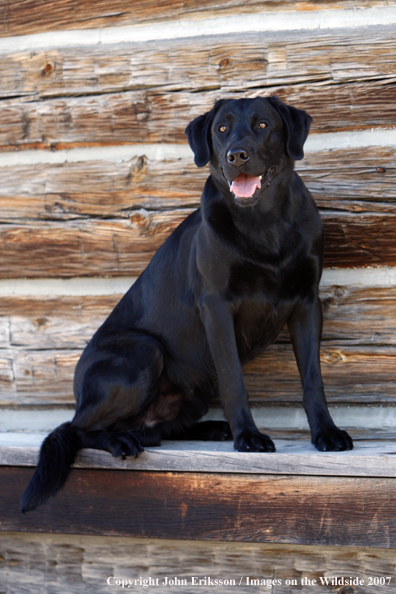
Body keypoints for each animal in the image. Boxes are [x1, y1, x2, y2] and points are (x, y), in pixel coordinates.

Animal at [20, 95, 352, 512]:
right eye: (221, 129)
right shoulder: (217, 307)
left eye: (262, 125)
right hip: (143, 351)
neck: (264, 222)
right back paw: (121, 440)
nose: (236, 155)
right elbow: (234, 380)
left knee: (154, 429)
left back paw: (207, 428)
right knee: (78, 428)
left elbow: (313, 380)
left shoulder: (307, 303)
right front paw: (248, 437)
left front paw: (326, 432)